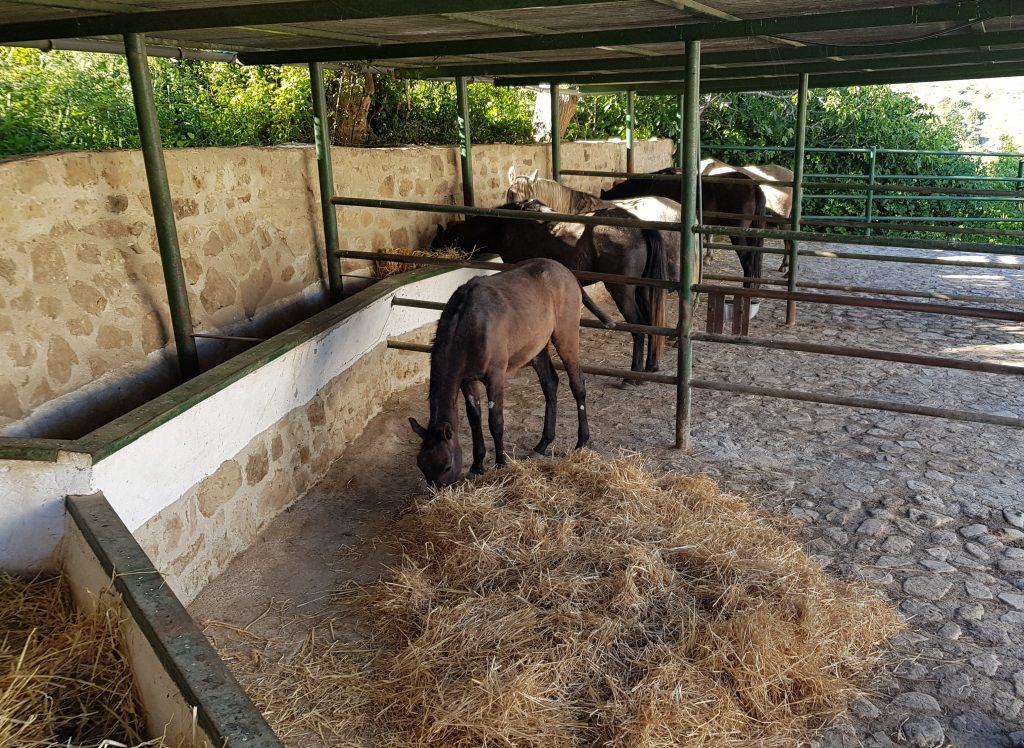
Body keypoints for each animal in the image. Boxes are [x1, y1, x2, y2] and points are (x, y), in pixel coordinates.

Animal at [409, 258, 612, 488]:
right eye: (421, 465)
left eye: (447, 466)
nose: (438, 492)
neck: (471, 323)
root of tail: (568, 274)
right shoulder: (467, 380)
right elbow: (474, 419)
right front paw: (477, 465)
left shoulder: (495, 377)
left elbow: (495, 421)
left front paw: (500, 463)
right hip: (538, 348)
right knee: (550, 384)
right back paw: (543, 444)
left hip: (565, 337)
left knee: (578, 385)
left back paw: (581, 441)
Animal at [432, 198, 669, 378]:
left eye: (437, 242)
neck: (506, 225)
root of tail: (638, 227)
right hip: (642, 290)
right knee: (650, 323)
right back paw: (650, 366)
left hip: (621, 290)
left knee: (637, 324)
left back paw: (633, 374)